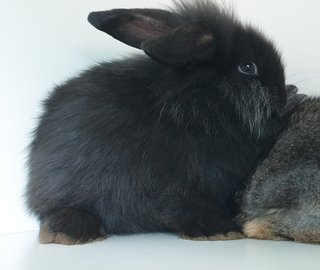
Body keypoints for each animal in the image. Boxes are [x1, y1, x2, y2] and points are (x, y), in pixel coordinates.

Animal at [26, 0, 288, 245]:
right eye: (248, 67)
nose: (284, 98)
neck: (199, 102)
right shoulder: (181, 185)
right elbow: (182, 209)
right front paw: (219, 230)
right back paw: (73, 232)